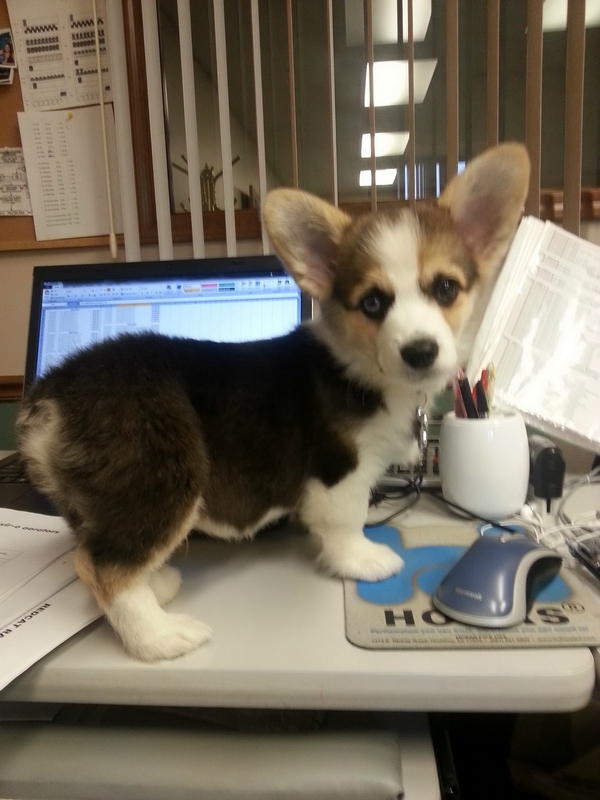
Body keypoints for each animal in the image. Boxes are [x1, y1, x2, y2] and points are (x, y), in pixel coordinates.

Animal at [17, 143, 530, 662]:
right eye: (372, 303)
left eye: (446, 288)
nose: (420, 351)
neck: (364, 367)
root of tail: (52, 392)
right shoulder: (340, 469)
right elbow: (347, 521)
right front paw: (362, 561)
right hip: (161, 474)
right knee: (101, 565)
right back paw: (159, 636)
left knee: (99, 549)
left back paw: (155, 585)